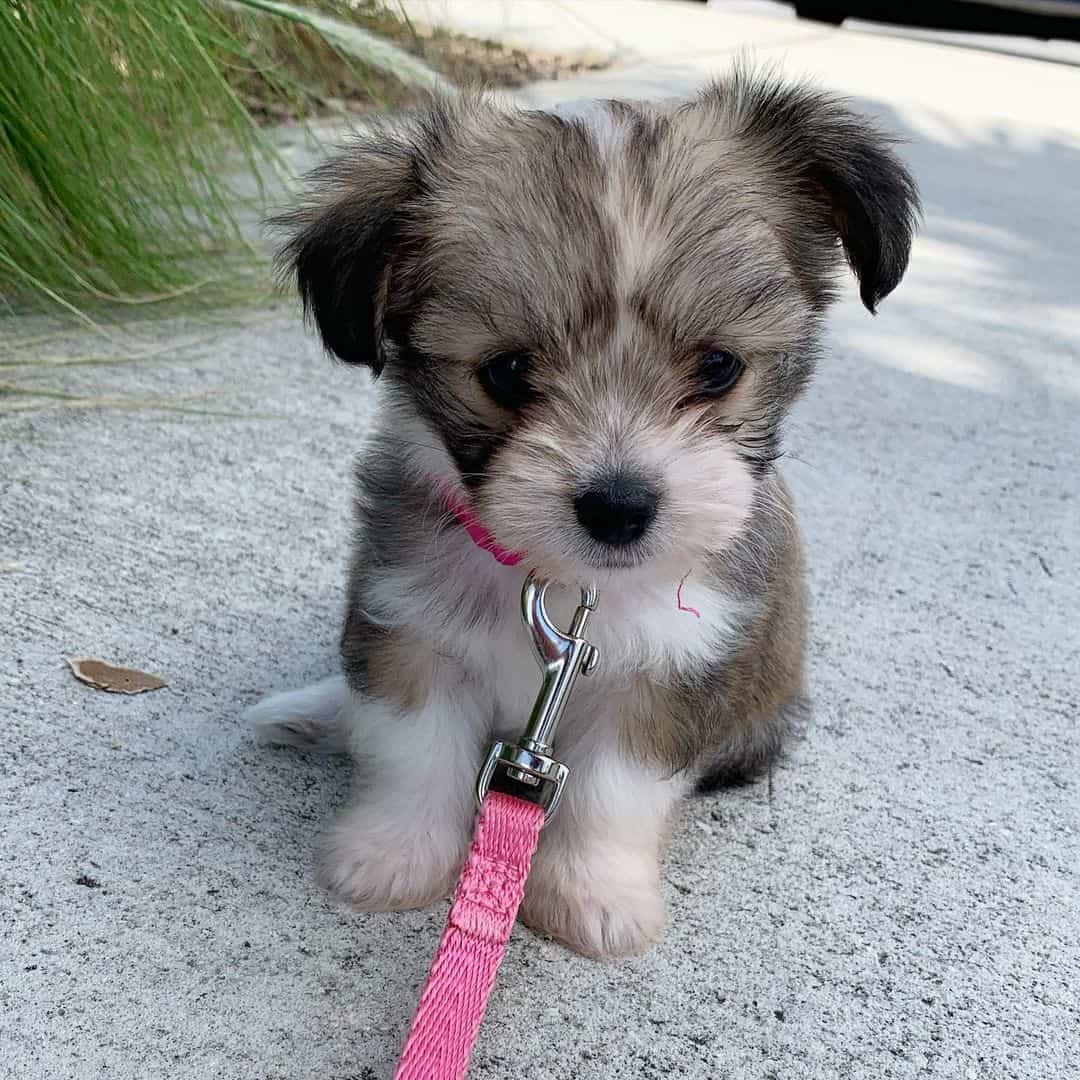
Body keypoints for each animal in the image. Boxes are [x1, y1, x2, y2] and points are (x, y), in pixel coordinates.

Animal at [247, 69, 920, 963]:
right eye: (505, 371)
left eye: (718, 366)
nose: (619, 505)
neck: (562, 594)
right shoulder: (411, 628)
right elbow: (410, 751)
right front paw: (393, 854)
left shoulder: (669, 675)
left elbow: (612, 793)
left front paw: (590, 896)